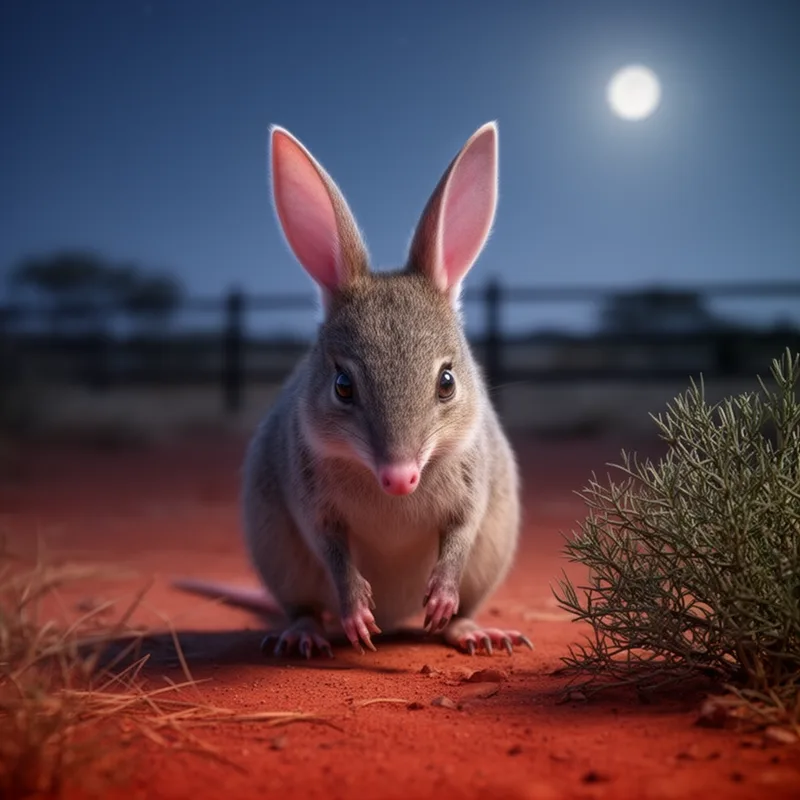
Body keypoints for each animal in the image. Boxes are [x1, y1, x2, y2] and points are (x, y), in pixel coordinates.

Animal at [175, 121, 531, 659]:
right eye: (343, 386)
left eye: (446, 382)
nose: (400, 479)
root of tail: (398, 615)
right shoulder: (314, 505)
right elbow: (335, 554)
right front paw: (357, 614)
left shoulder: (473, 489)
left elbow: (458, 536)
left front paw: (441, 599)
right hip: (281, 559)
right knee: (304, 608)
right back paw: (304, 634)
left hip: (491, 557)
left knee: (461, 608)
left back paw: (471, 629)